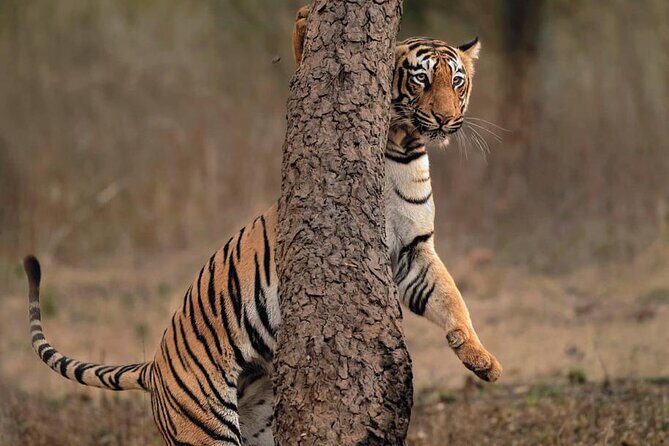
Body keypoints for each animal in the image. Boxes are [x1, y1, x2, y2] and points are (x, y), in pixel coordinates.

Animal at [23, 5, 501, 446]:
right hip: (206, 428)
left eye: (457, 81)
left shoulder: (414, 253)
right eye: (422, 80)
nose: (445, 118)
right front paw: (305, 18)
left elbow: (452, 298)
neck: (404, 148)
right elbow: (301, 59)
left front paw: (483, 361)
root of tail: (155, 365)